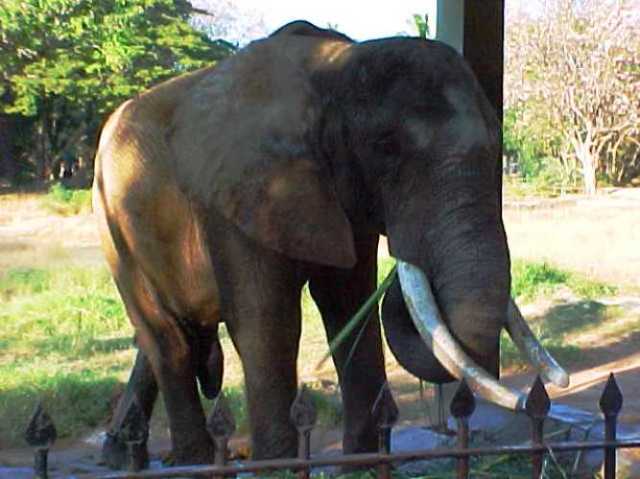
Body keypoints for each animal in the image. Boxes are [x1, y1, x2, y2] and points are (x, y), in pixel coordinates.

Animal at [92, 20, 569, 466]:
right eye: (385, 149)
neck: (335, 66)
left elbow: (348, 306)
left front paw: (363, 465)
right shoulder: (235, 193)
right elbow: (267, 320)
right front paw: (279, 468)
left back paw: (130, 453)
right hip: (112, 220)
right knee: (166, 337)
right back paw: (190, 459)